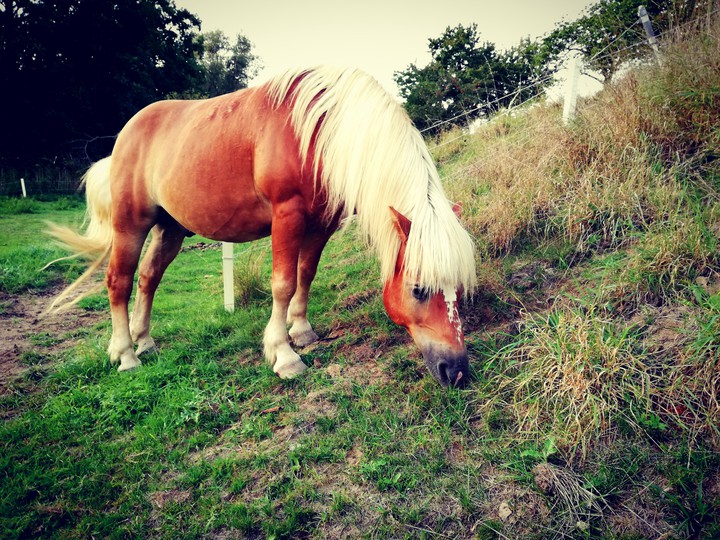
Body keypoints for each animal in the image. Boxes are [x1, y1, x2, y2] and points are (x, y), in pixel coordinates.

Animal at [47, 66, 477, 387]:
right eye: (418, 289)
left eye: (458, 289)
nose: (456, 372)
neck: (320, 132)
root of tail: (126, 134)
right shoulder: (287, 216)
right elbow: (283, 283)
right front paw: (283, 354)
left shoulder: (322, 222)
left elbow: (306, 274)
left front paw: (301, 331)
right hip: (130, 226)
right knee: (118, 281)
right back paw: (124, 354)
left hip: (171, 229)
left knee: (148, 278)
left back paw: (145, 342)